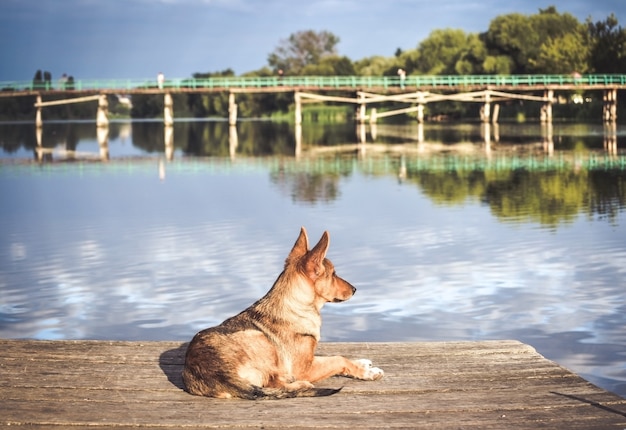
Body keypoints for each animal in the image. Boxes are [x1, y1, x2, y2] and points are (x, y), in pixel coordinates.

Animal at [180, 227, 382, 398]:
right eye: (333, 274)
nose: (355, 289)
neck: (295, 306)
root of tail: (219, 374)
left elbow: (332, 357)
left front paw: (361, 363)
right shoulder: (305, 368)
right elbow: (338, 359)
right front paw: (366, 372)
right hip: (260, 338)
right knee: (273, 382)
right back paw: (300, 384)